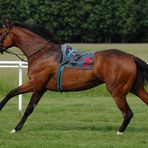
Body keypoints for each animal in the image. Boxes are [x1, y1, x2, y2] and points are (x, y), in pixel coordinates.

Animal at [0, 20, 147, 135]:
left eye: (1, 33)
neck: (42, 53)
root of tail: (130, 57)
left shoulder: (34, 83)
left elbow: (10, 93)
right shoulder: (40, 87)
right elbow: (29, 108)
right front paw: (16, 129)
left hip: (117, 91)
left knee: (128, 113)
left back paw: (119, 131)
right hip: (136, 88)